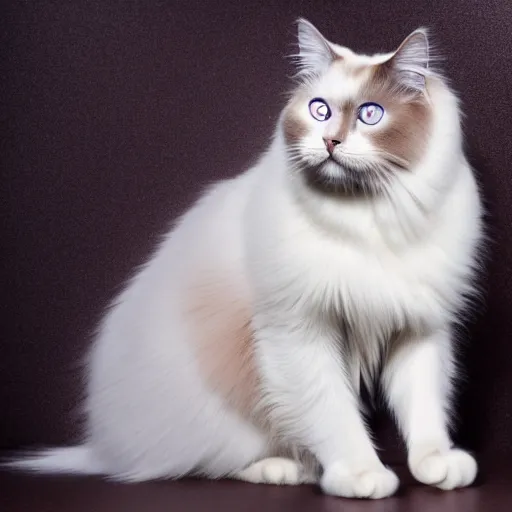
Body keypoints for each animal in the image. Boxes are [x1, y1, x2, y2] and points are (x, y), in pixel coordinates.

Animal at [6, 18, 482, 498]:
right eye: (319, 110)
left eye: (371, 114)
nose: (329, 141)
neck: (368, 219)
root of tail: (107, 449)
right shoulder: (298, 331)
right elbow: (334, 414)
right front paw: (360, 473)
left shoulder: (417, 327)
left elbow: (424, 409)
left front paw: (436, 465)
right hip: (221, 421)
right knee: (207, 463)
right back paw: (287, 469)